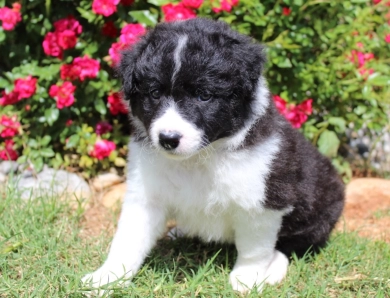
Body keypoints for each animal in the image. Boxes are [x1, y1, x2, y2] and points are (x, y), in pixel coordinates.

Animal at [83, 18, 344, 294]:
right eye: (154, 93)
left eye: (204, 95)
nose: (168, 139)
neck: (198, 159)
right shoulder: (145, 194)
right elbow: (127, 240)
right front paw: (107, 277)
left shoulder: (261, 204)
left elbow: (254, 248)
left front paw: (247, 277)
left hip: (319, 211)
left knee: (290, 246)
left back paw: (273, 268)